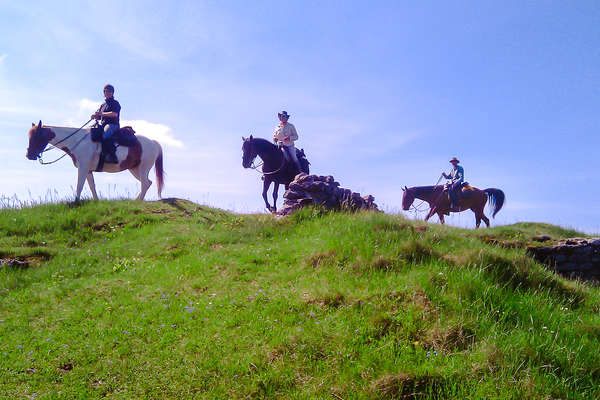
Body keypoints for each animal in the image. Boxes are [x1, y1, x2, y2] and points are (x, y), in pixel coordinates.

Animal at [27, 120, 164, 202]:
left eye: (36, 136)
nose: (29, 155)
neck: (77, 141)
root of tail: (154, 143)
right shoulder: (88, 170)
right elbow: (91, 186)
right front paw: (96, 200)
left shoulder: (83, 168)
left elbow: (80, 185)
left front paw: (76, 202)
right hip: (134, 169)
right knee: (148, 183)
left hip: (143, 168)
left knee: (145, 183)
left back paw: (139, 201)